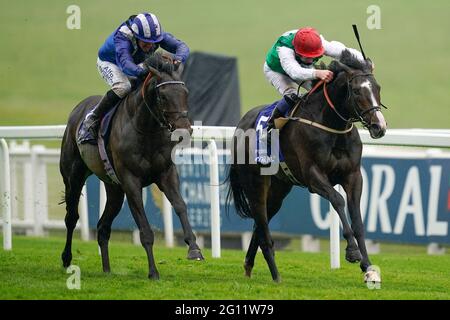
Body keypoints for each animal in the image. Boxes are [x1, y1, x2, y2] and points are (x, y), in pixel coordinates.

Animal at [59, 53, 203, 278]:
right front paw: (153, 272)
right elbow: (144, 229)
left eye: (185, 93)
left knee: (103, 227)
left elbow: (180, 205)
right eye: (163, 97)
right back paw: (67, 259)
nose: (184, 130)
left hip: (114, 189)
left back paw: (107, 269)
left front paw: (194, 248)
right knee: (72, 217)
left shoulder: (166, 173)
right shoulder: (130, 181)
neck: (146, 129)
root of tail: (78, 109)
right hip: (73, 177)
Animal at [229, 50, 386, 282]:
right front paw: (352, 251)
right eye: (357, 91)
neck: (331, 126)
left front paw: (368, 267)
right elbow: (338, 200)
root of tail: (240, 125)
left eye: (377, 88)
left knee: (259, 224)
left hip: (278, 190)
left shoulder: (353, 176)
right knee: (263, 229)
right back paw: (276, 276)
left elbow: (357, 218)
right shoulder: (313, 176)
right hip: (255, 185)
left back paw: (249, 265)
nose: (379, 126)